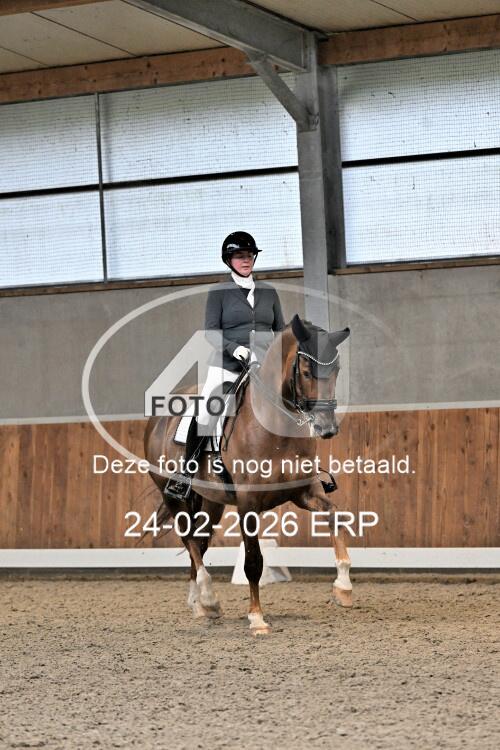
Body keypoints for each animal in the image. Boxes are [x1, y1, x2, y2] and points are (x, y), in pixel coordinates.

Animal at [144, 313, 352, 635]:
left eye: (337, 370)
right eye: (306, 372)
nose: (327, 428)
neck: (274, 425)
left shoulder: (305, 492)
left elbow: (336, 517)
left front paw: (343, 586)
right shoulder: (247, 504)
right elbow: (253, 561)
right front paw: (256, 618)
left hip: (211, 502)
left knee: (199, 542)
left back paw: (199, 604)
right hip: (174, 497)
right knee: (189, 540)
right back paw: (209, 597)